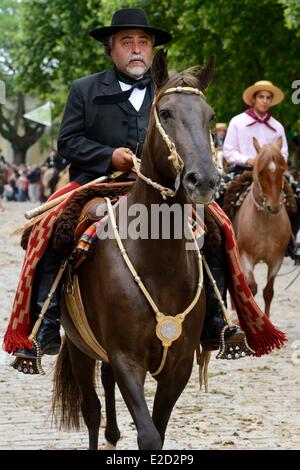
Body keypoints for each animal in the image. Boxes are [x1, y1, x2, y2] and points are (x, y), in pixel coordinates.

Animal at [52, 49, 220, 450]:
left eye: (210, 116)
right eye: (166, 113)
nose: (204, 180)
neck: (158, 263)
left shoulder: (178, 365)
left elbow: (158, 429)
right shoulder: (127, 358)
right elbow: (147, 434)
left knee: (106, 394)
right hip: (79, 349)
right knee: (92, 410)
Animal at [233, 138, 292, 318]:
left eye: (282, 170)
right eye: (260, 172)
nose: (274, 207)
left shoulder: (276, 260)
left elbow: (268, 292)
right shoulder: (245, 257)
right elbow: (250, 288)